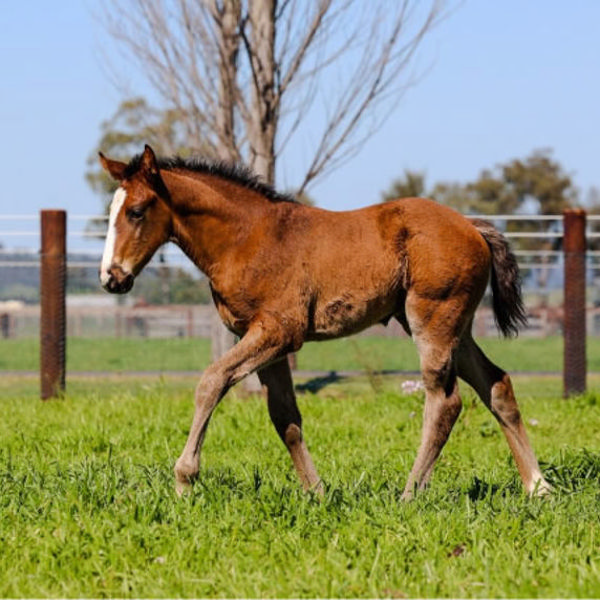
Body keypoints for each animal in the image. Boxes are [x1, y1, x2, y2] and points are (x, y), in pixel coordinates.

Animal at [99, 144, 552, 496]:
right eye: (111, 213)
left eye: (136, 211)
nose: (111, 278)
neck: (247, 238)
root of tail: (472, 227)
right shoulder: (267, 342)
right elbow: (284, 416)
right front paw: (317, 494)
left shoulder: (278, 331)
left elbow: (212, 382)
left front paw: (184, 480)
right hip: (454, 327)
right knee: (496, 384)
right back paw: (537, 486)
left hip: (433, 320)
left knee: (446, 401)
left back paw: (410, 493)